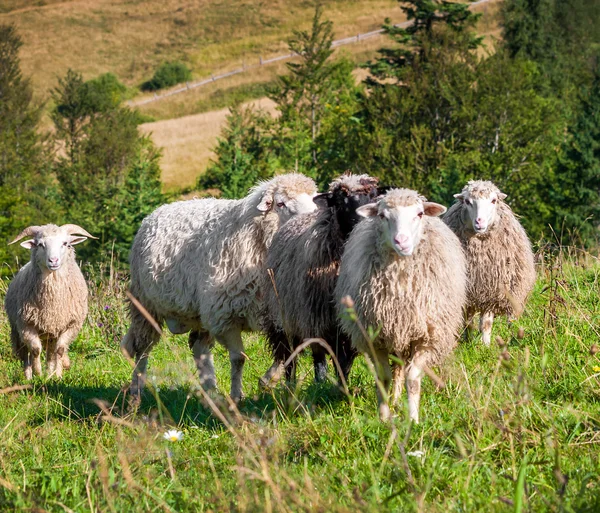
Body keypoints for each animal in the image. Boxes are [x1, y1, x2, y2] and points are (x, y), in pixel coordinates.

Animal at [4, 225, 96, 380]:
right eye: (40, 244)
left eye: (66, 243)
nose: (53, 260)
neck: (53, 303)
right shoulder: (26, 324)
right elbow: (35, 350)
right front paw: (38, 373)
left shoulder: (71, 325)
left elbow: (60, 350)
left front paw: (56, 376)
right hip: (17, 330)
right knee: (25, 354)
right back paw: (29, 377)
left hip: (51, 333)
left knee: (50, 354)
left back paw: (50, 374)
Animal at [120, 174, 318, 402]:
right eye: (281, 203)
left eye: (314, 198)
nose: (311, 218)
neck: (255, 237)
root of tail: (155, 213)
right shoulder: (224, 316)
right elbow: (238, 358)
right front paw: (237, 396)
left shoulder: (280, 316)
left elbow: (289, 353)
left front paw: (267, 381)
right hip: (145, 305)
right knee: (142, 348)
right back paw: (136, 391)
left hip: (198, 312)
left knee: (199, 348)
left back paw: (211, 391)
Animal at [260, 174, 382, 386]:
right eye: (340, 200)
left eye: (374, 197)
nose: (362, 221)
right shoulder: (317, 317)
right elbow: (324, 355)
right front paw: (328, 384)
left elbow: (345, 360)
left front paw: (343, 385)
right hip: (286, 315)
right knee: (293, 353)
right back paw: (294, 383)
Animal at [336, 188, 466, 420]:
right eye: (382, 216)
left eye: (420, 214)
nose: (401, 241)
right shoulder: (375, 337)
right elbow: (383, 378)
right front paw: (383, 417)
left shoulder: (425, 335)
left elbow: (413, 378)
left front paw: (413, 419)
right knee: (396, 369)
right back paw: (395, 401)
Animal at [442, 179, 536, 344]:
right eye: (467, 201)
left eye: (493, 200)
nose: (480, 222)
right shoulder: (467, 292)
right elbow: (468, 321)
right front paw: (469, 341)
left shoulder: (492, 290)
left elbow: (486, 322)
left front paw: (485, 344)